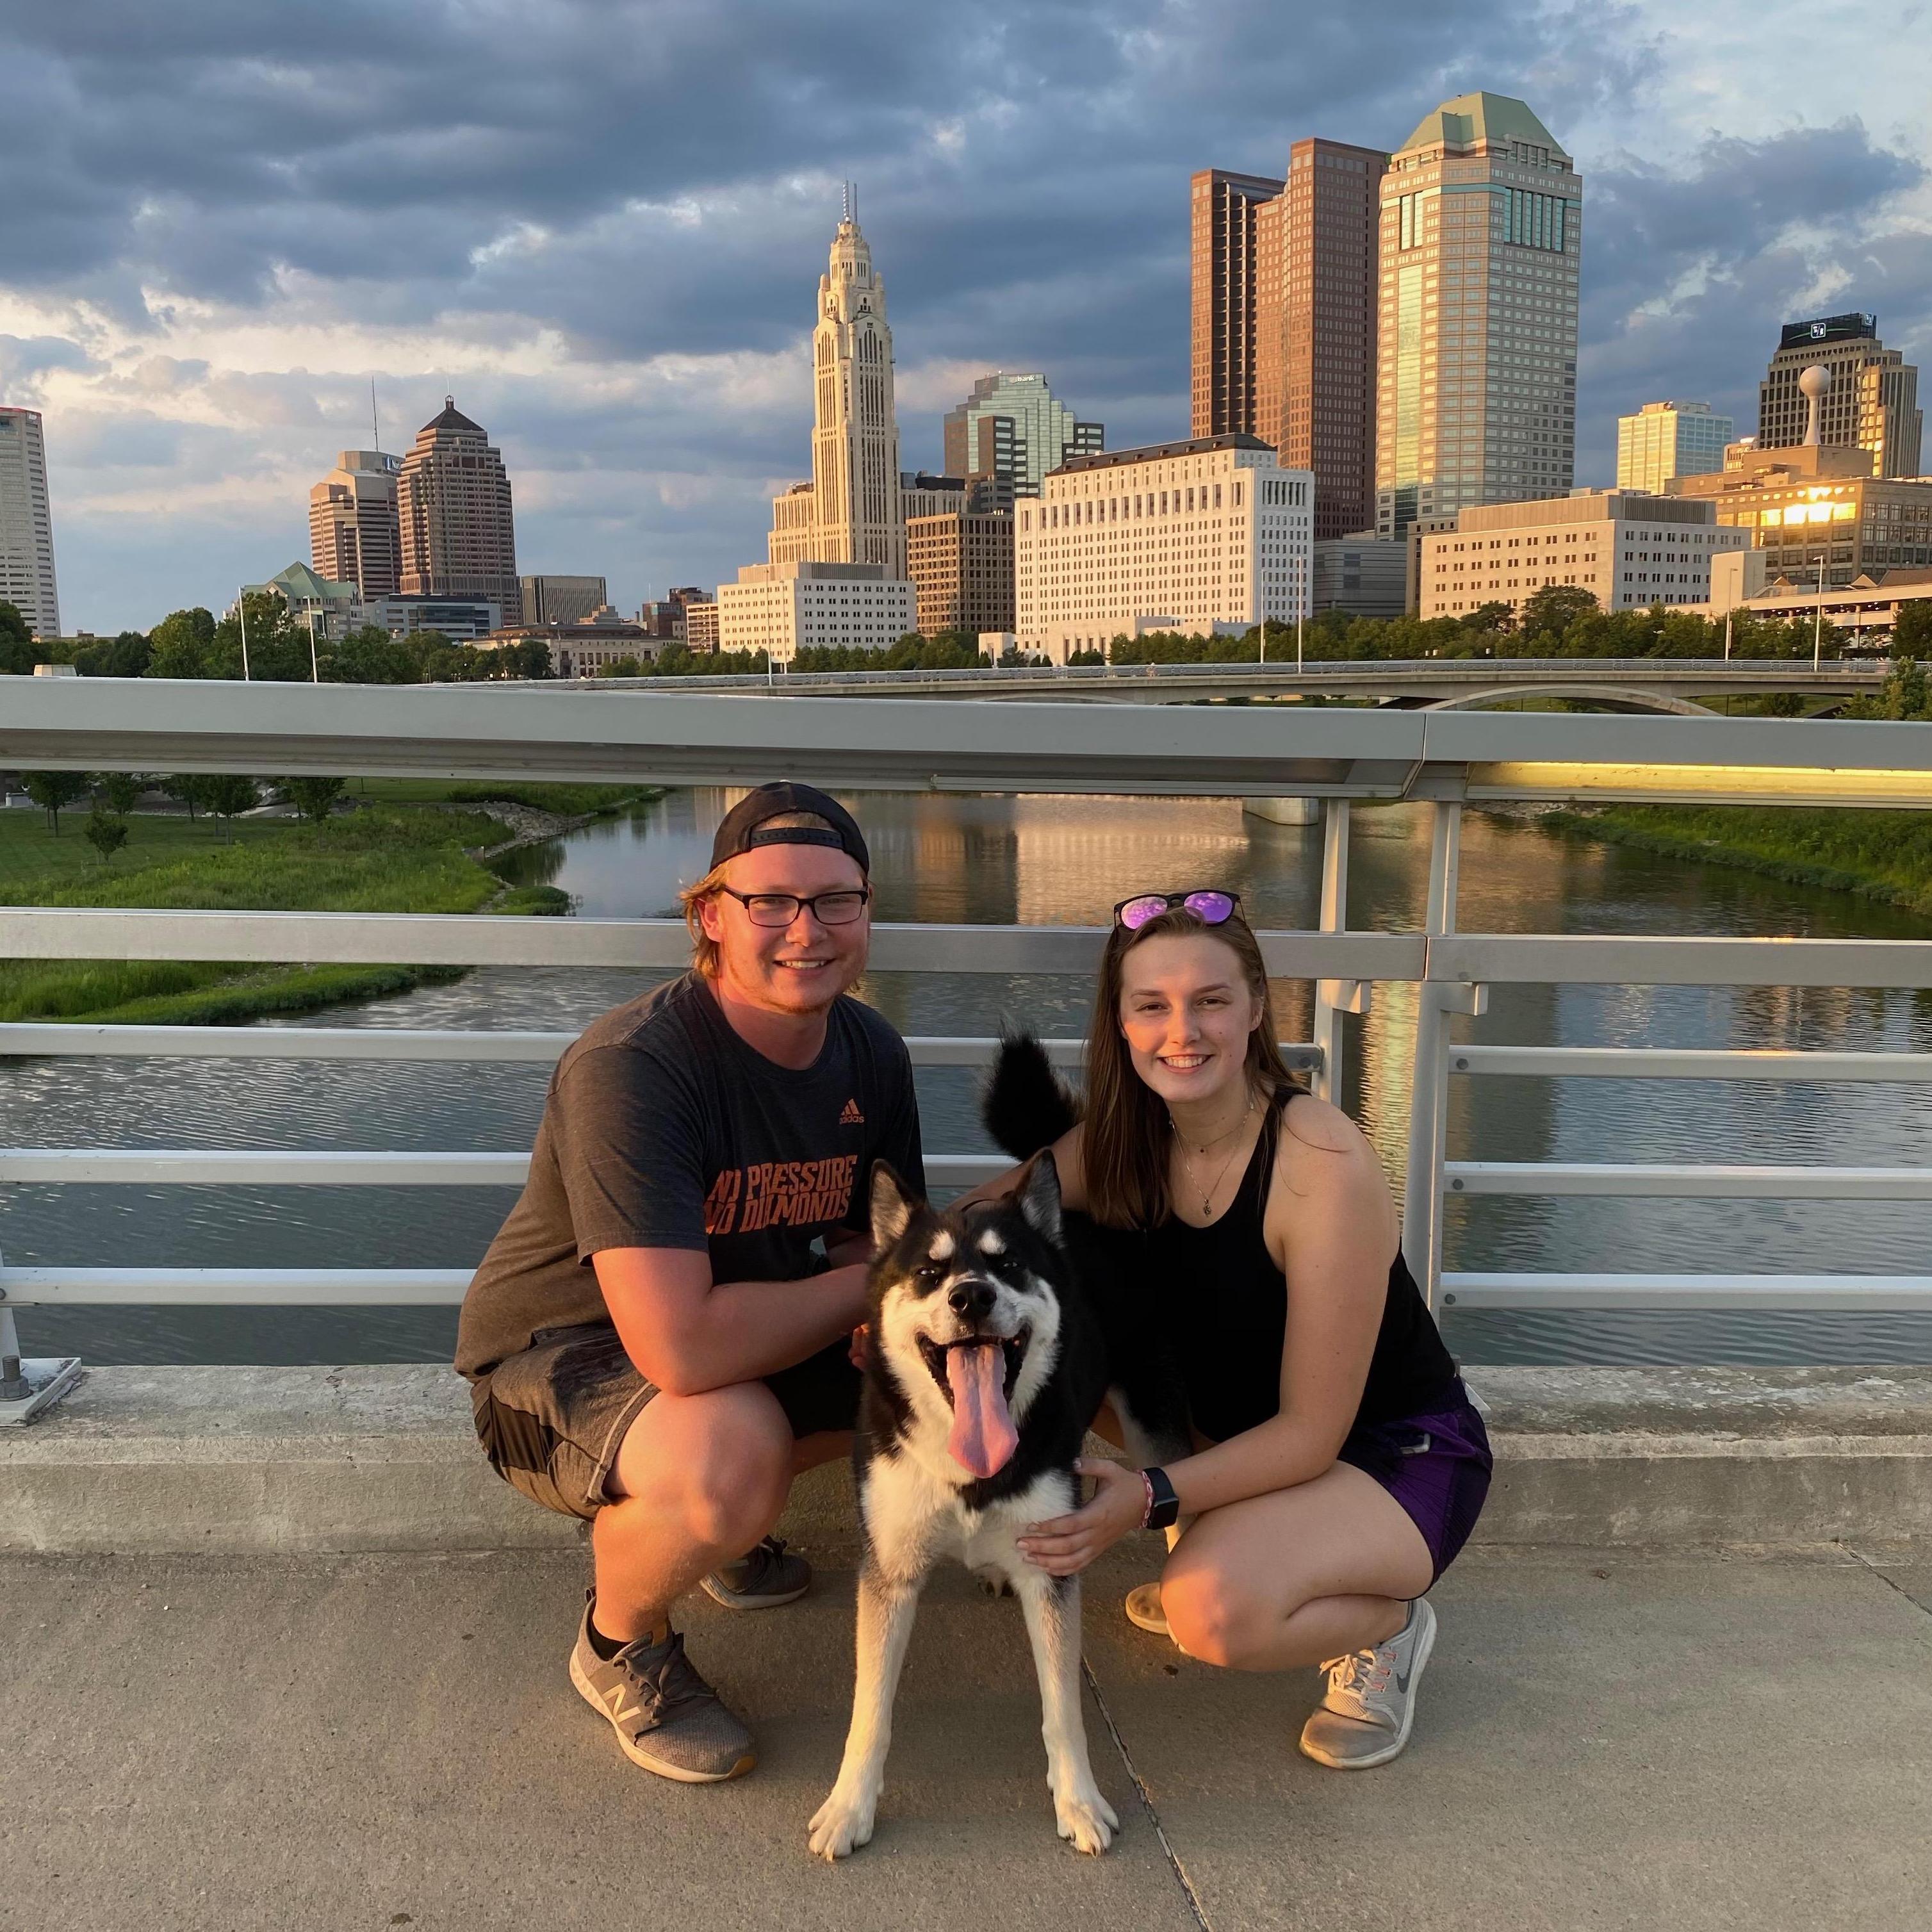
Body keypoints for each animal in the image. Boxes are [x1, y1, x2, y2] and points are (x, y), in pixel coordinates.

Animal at [808, 1038, 1188, 1862]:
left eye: (1008, 1264)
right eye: (928, 1271)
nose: (970, 1296)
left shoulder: (1052, 1567)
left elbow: (1064, 1708)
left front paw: (1078, 1800)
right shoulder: (889, 1571)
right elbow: (869, 1710)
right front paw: (850, 1805)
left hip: (1150, 1416)